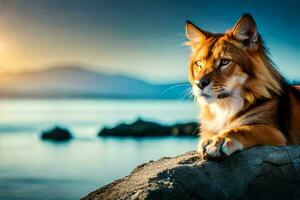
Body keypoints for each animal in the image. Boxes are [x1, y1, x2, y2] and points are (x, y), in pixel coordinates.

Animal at [185, 13, 300, 159]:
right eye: (199, 63)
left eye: (225, 62)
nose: (199, 83)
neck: (223, 107)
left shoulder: (277, 133)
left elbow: (243, 129)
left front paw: (217, 141)